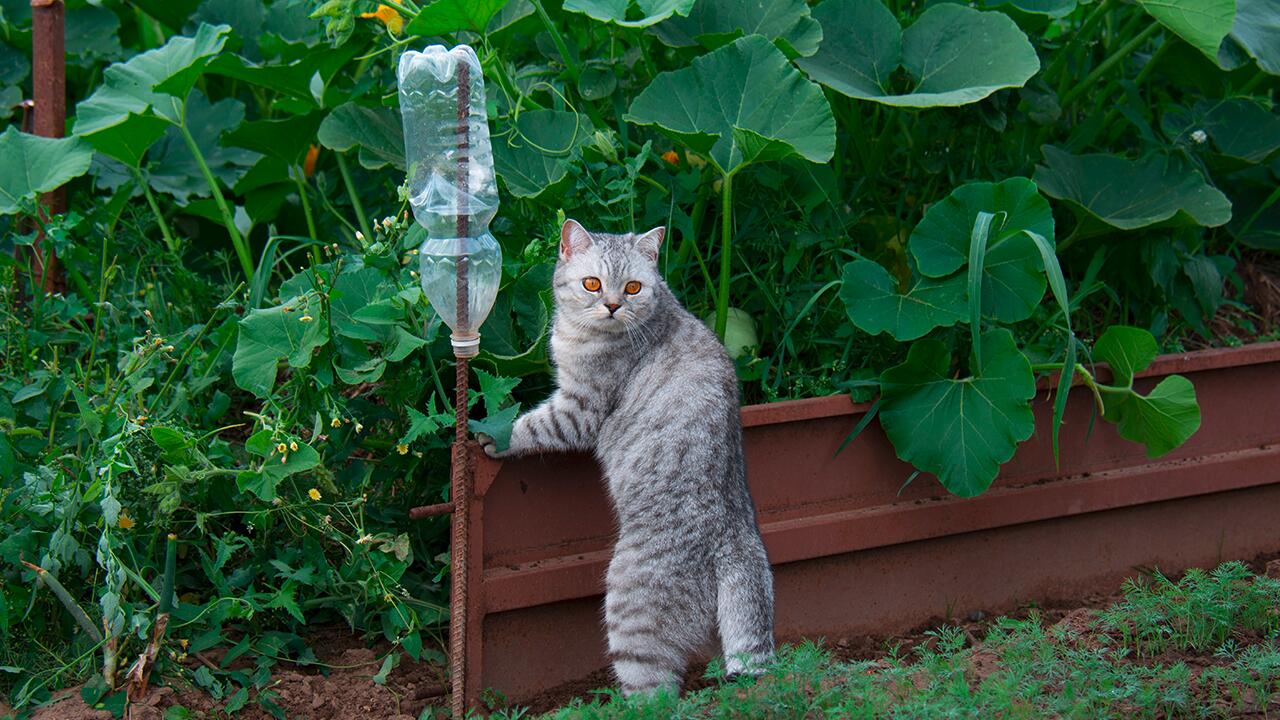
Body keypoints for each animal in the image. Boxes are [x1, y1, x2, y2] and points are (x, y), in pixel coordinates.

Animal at [481, 217, 773, 691]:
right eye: (593, 283)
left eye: (633, 287)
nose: (614, 306)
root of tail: (736, 544)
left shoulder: (579, 408)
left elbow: (530, 424)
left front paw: (491, 434)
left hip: (630, 610)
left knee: (657, 693)